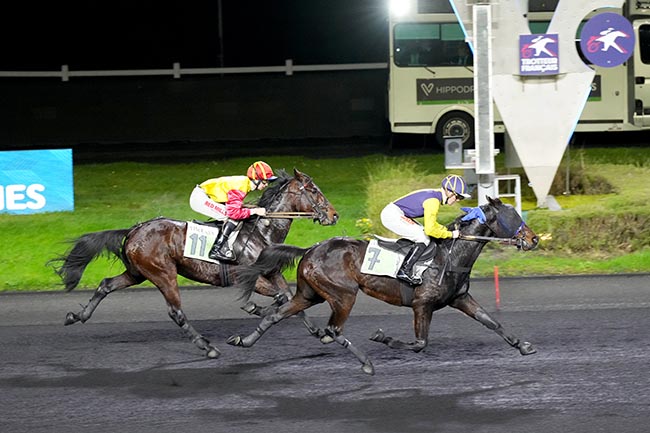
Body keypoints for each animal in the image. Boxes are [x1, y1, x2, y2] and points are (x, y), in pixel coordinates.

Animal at [49, 169, 334, 358]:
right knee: (175, 311)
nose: (333, 214)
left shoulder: (271, 273)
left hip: (137, 272)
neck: (262, 231)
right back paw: (207, 347)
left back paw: (77, 316)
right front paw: (255, 309)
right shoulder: (249, 277)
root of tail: (135, 229)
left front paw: (319, 333)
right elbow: (282, 299)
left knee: (106, 285)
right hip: (163, 274)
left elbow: (289, 299)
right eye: (314, 191)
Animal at [228, 197, 536, 374]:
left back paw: (244, 340)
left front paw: (523, 345)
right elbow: (419, 344)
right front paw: (382, 337)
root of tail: (310, 249)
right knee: (333, 329)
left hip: (310, 293)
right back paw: (366, 363)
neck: (450, 254)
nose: (533, 240)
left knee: (278, 315)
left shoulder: (459, 298)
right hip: (343, 295)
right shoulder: (422, 304)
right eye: (512, 217)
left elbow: (490, 321)